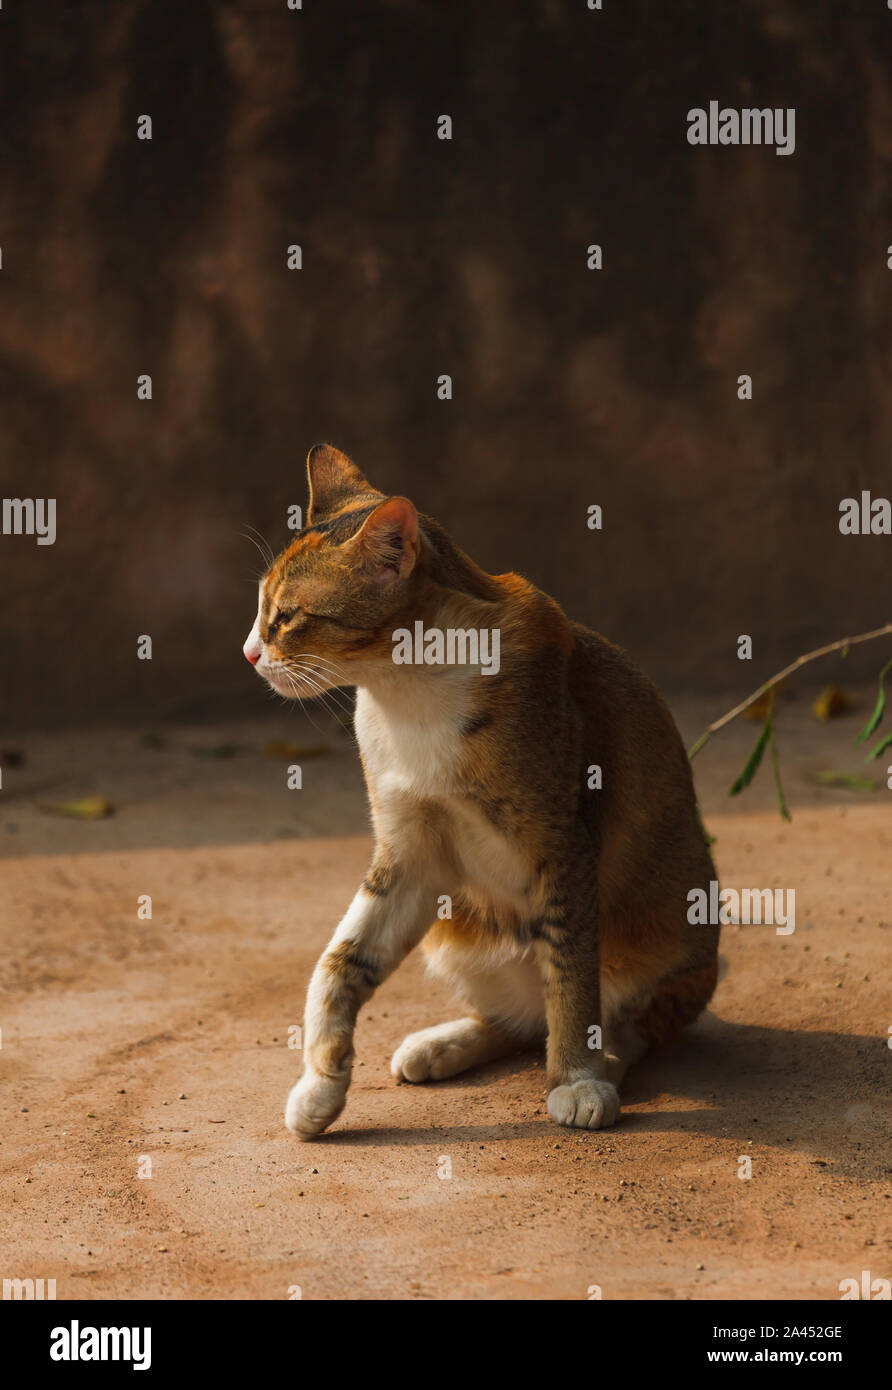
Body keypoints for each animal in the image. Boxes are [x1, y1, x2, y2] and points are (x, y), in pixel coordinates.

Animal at [241, 444, 716, 1139]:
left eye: (288, 616)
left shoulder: (563, 844)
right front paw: (320, 1087)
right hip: (456, 930)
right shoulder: (409, 854)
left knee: (616, 1020)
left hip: (665, 940)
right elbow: (339, 962)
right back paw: (439, 1045)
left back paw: (597, 1065)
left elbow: (572, 975)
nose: (249, 652)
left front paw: (575, 1080)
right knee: (517, 1023)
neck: (408, 691)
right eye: (260, 608)